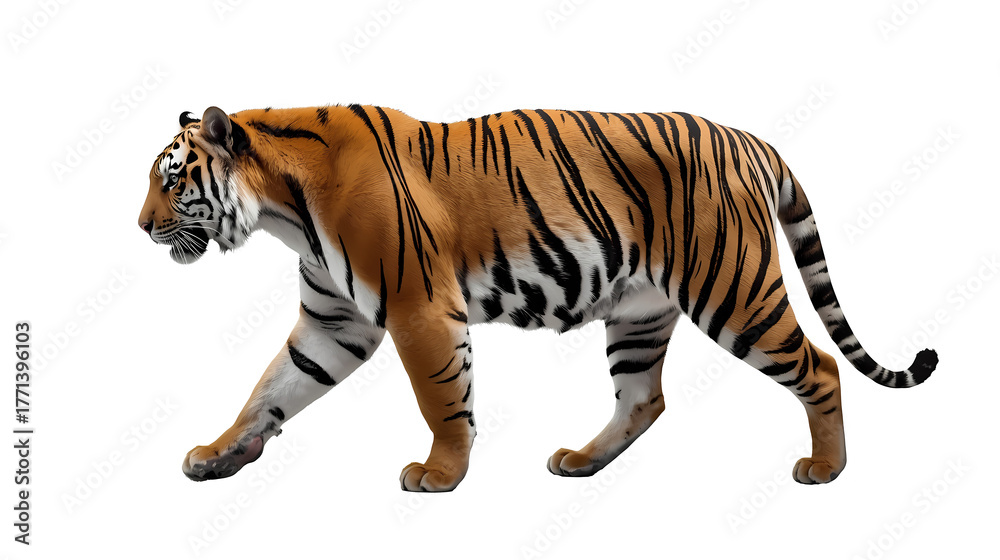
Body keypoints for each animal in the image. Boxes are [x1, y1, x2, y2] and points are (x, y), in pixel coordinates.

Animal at [138, 105, 938, 491]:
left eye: (173, 179)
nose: (141, 227)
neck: (282, 209)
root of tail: (749, 139)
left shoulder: (418, 308)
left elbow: (440, 397)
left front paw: (440, 475)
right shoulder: (333, 322)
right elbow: (269, 390)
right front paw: (218, 454)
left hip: (735, 290)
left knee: (820, 368)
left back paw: (826, 470)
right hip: (641, 311)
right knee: (643, 398)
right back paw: (582, 461)